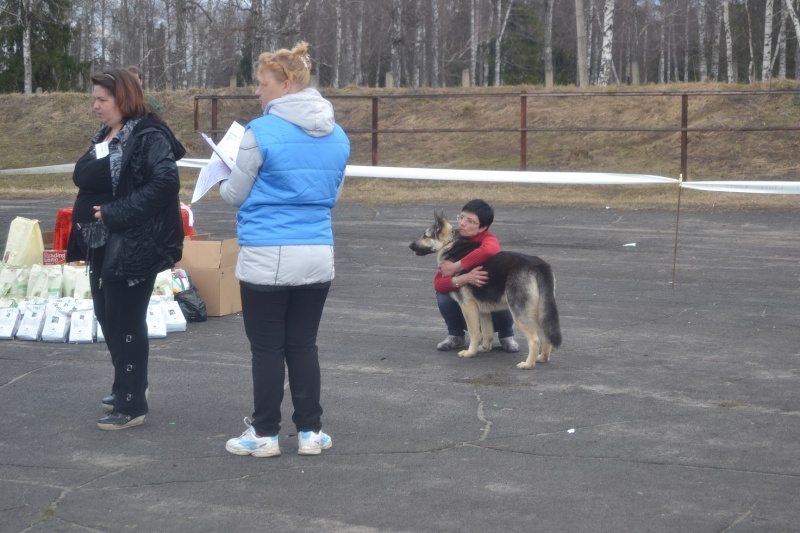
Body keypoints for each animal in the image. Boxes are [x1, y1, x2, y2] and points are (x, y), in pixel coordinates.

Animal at [412, 210, 564, 368]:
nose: (410, 246)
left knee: (534, 340)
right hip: (541, 311)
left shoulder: (468, 307)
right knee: (546, 336)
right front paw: (484, 349)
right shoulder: (483, 312)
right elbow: (487, 333)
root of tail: (539, 265)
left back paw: (528, 364)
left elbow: (474, 333)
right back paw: (542, 358)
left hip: (520, 313)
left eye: (425, 235)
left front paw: (470, 353)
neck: (450, 243)